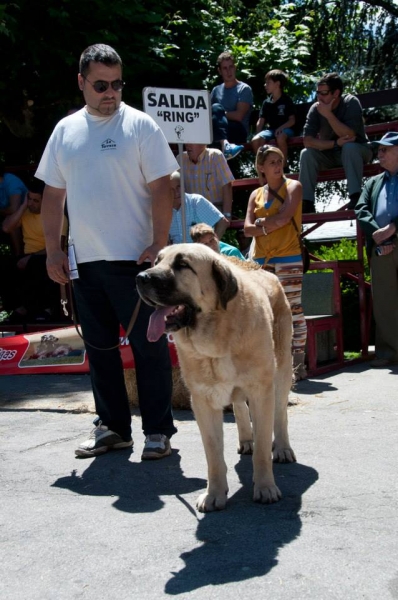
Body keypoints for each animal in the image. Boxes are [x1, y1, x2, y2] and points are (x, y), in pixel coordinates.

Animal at [137, 244, 296, 510]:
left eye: (182, 265)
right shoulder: (203, 401)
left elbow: (264, 448)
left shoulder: (261, 391)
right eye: (157, 261)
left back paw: (283, 448)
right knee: (240, 407)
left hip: (282, 371)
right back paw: (246, 440)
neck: (217, 336)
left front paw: (265, 488)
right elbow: (213, 454)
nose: (141, 277)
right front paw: (215, 494)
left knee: (280, 414)